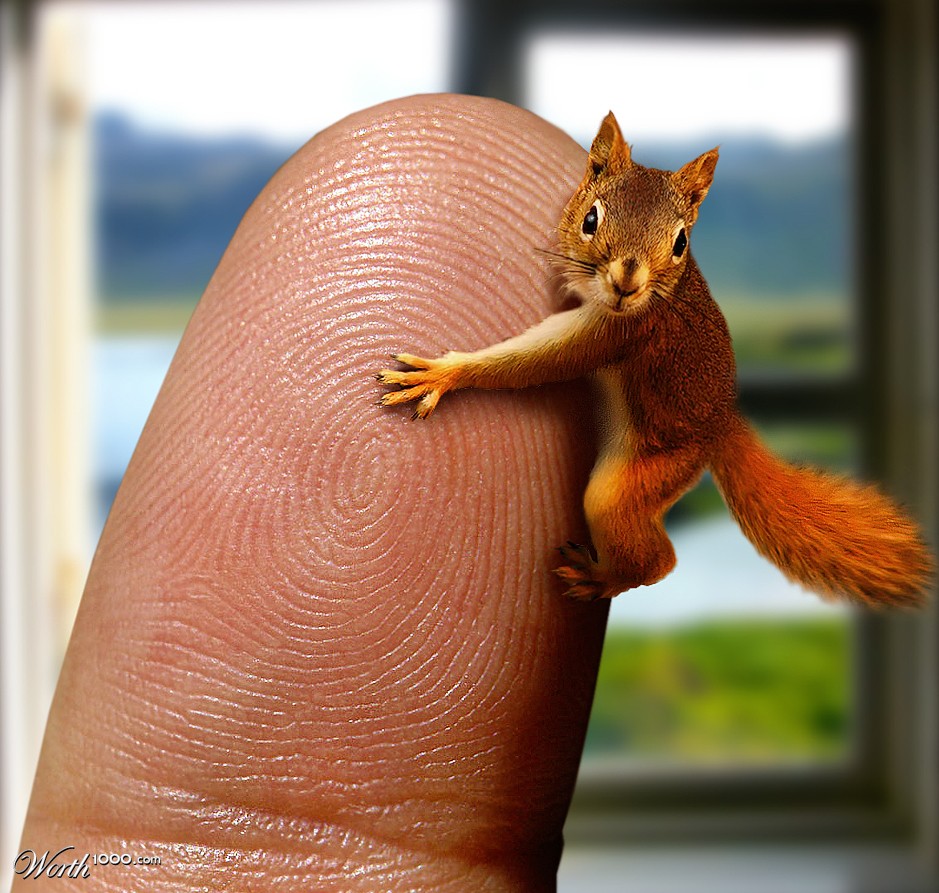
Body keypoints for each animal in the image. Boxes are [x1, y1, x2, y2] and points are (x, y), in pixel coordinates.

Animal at [377, 111, 933, 606]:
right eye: (590, 218)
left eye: (682, 241)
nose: (627, 282)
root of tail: (722, 424)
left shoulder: (619, 333)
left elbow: (539, 359)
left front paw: (445, 373)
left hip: (639, 480)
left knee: (657, 559)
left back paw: (600, 578)